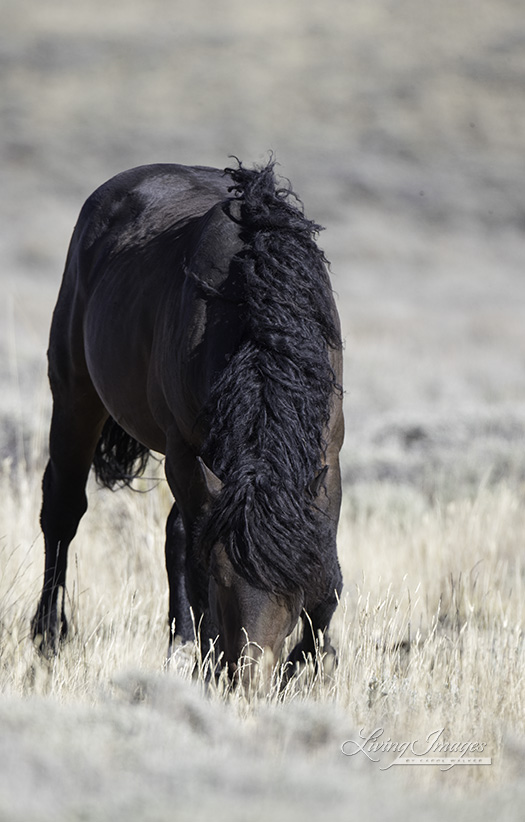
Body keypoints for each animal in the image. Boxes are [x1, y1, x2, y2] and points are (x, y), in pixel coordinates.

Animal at [32, 158, 344, 680]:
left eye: (290, 584)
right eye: (221, 580)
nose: (249, 676)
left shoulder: (326, 456)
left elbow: (329, 578)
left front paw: (302, 666)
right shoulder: (185, 450)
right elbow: (194, 554)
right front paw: (210, 659)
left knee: (175, 531)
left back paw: (178, 645)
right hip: (76, 392)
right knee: (63, 511)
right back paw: (47, 639)